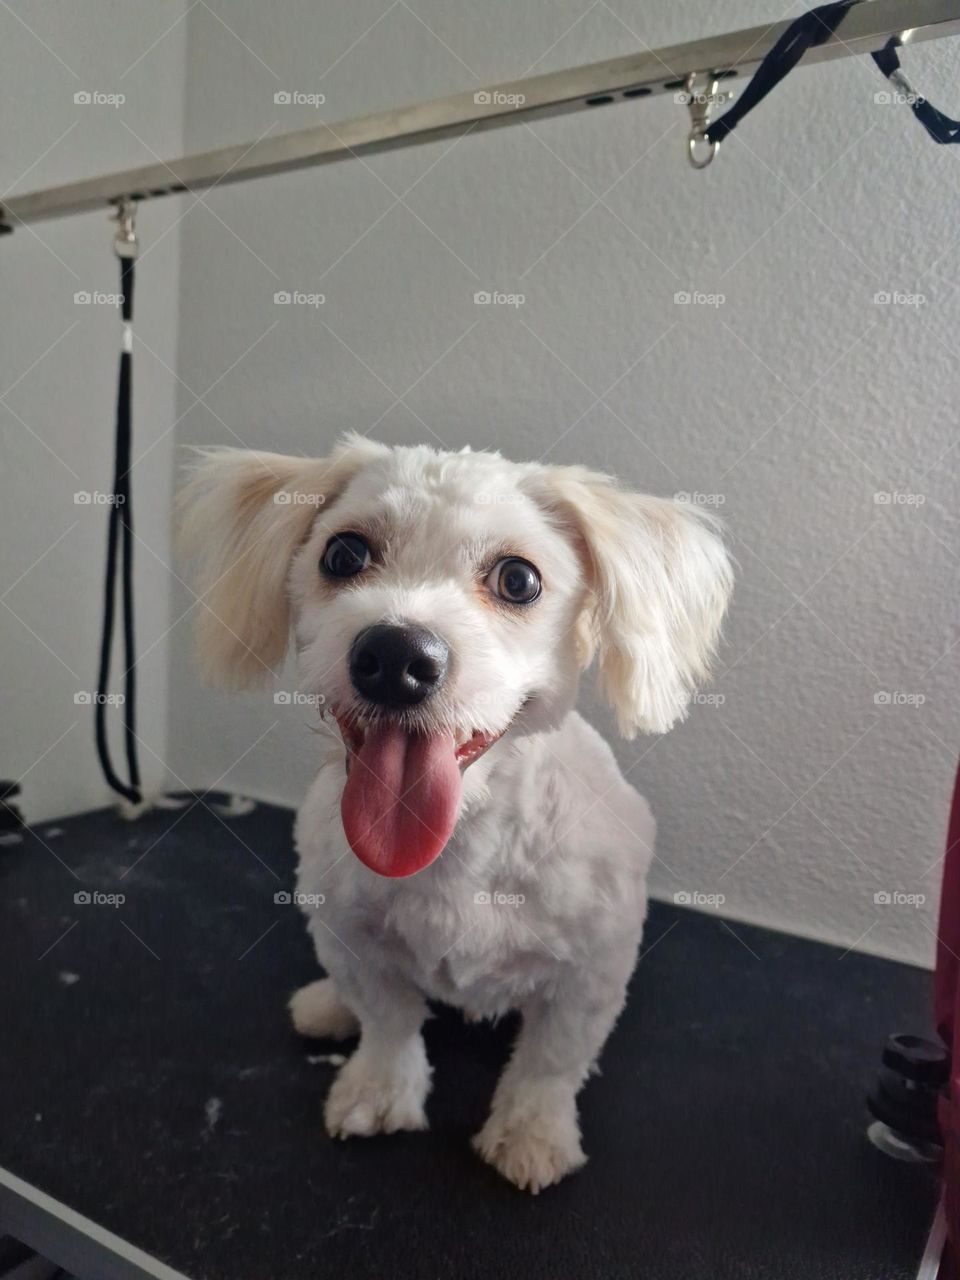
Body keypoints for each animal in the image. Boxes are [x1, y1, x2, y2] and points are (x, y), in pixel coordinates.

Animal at [180, 437, 732, 1187]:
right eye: (343, 554)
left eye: (519, 580)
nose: (395, 656)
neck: (459, 844)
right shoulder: (353, 939)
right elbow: (388, 1025)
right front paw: (379, 1091)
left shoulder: (591, 971)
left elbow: (550, 1062)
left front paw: (531, 1132)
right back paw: (328, 1005)